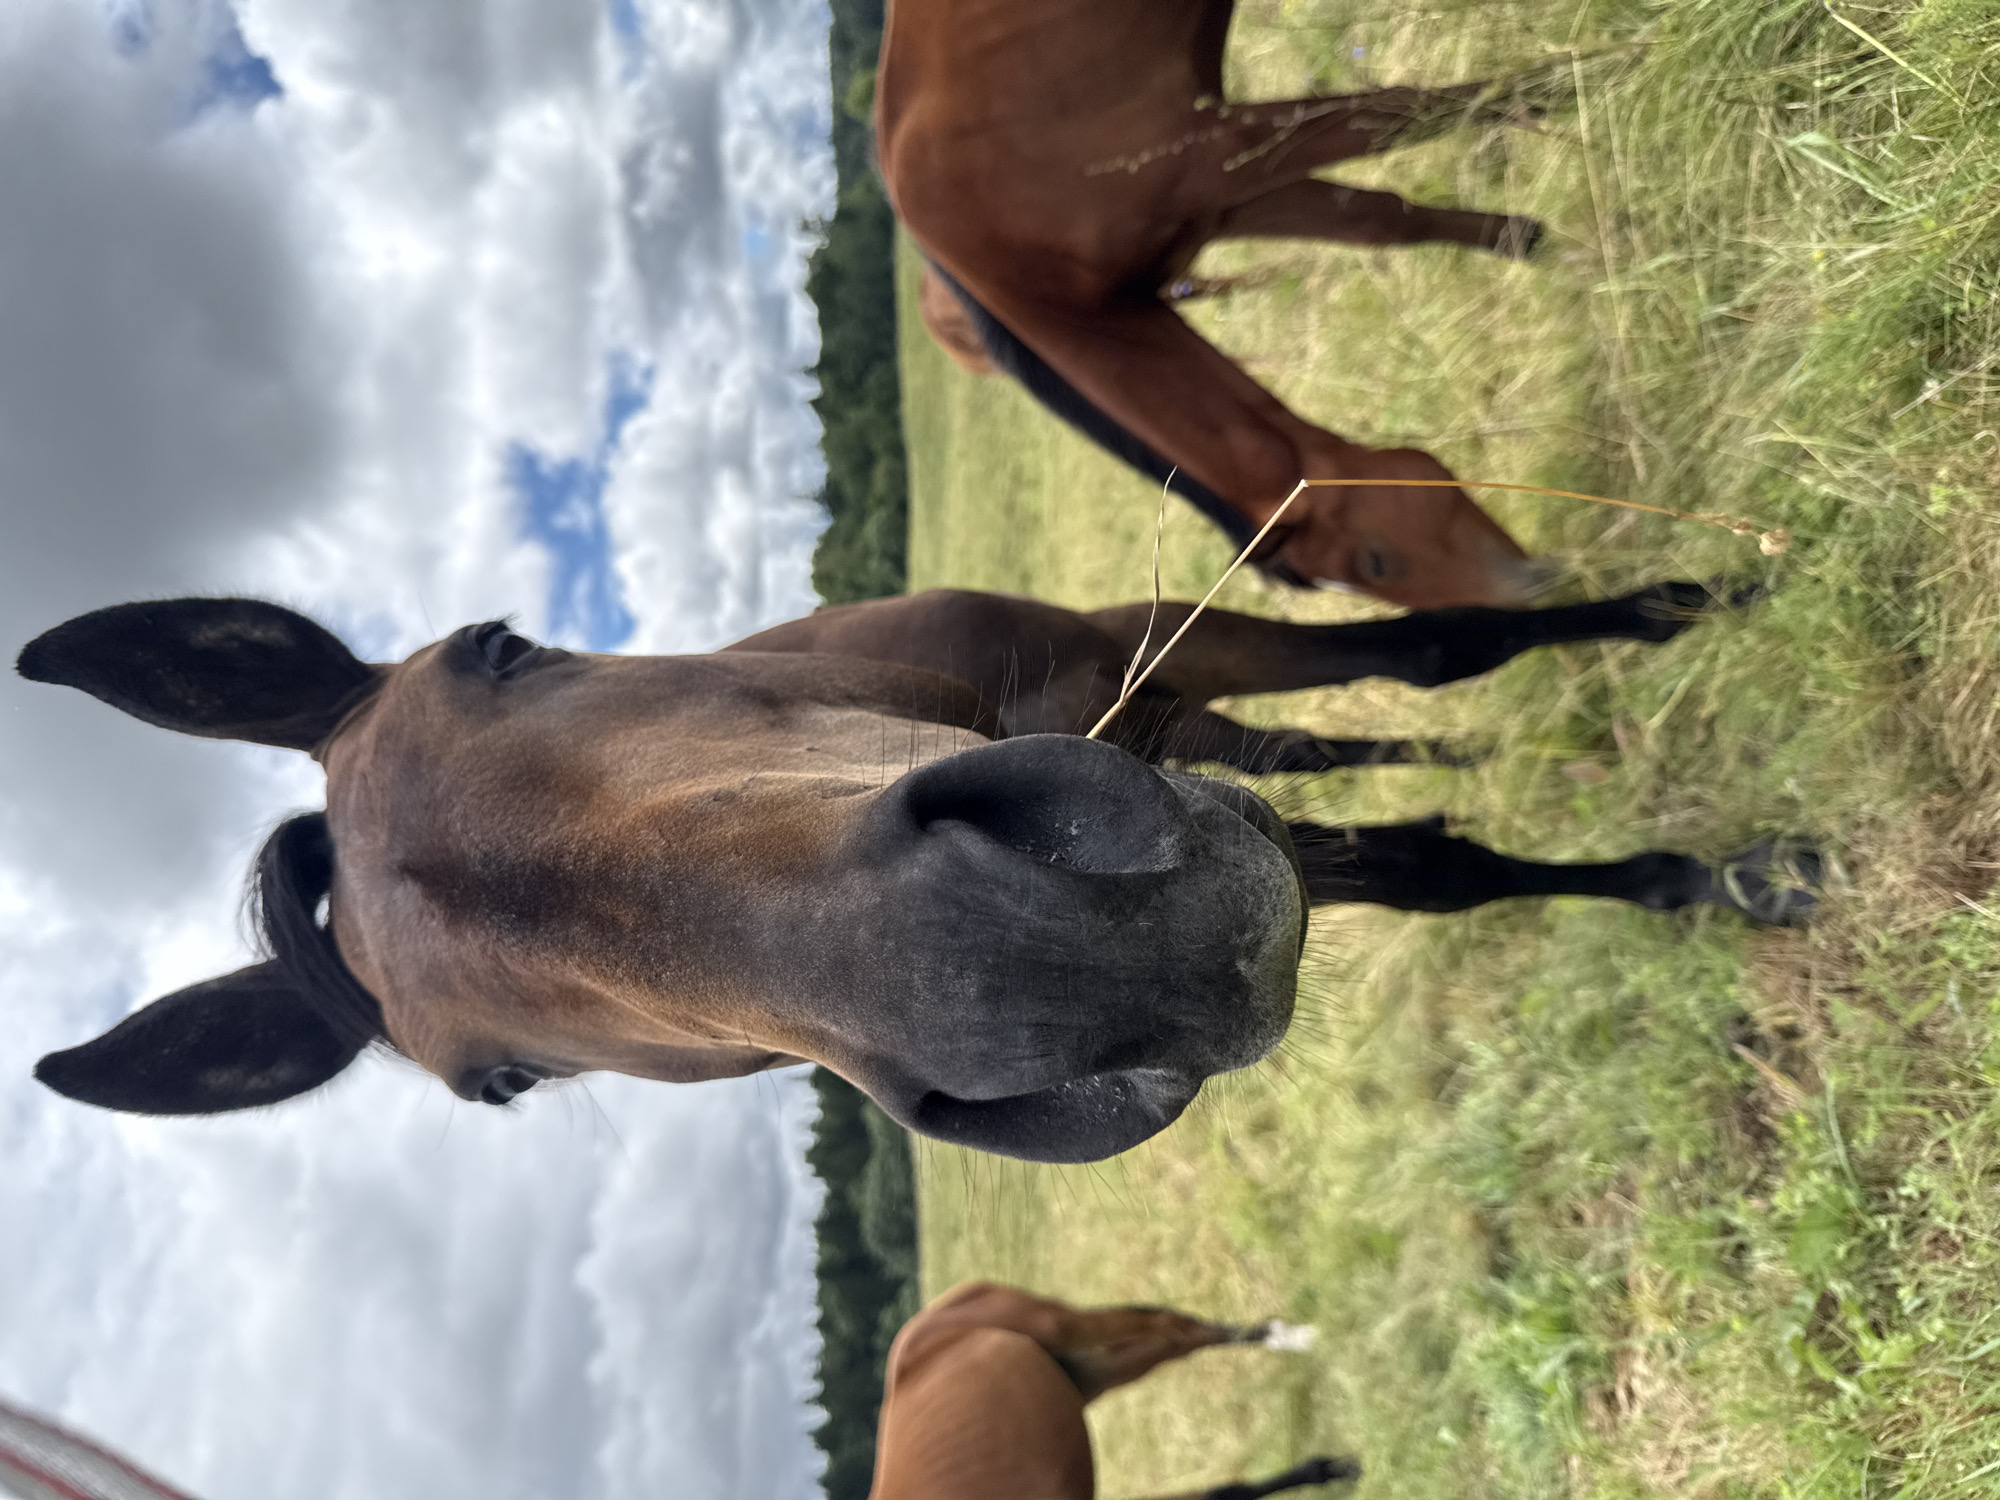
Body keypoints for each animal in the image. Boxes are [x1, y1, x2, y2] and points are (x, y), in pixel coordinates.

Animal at [21, 584, 1813, 1163]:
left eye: (501, 647)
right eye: (499, 1084)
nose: (1019, 970)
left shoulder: (1145, 646)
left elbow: (1441, 650)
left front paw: (1682, 644)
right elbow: (1424, 869)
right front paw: (1696, 877)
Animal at [871, 1281, 1357, 1500]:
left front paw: (1334, 1467)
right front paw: (1328, 1469)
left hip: (1067, 1327)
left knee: (1169, 1326)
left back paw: (1293, 1336)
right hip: (1094, 1372)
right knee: (1175, 1342)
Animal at [876, 0, 1559, 607]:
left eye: (1376, 561)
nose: (1536, 586)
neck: (1016, 245)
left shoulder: (1216, 149)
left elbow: (1408, 114)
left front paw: (1559, 86)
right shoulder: (1224, 198)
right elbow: (1384, 220)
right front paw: (1527, 240)